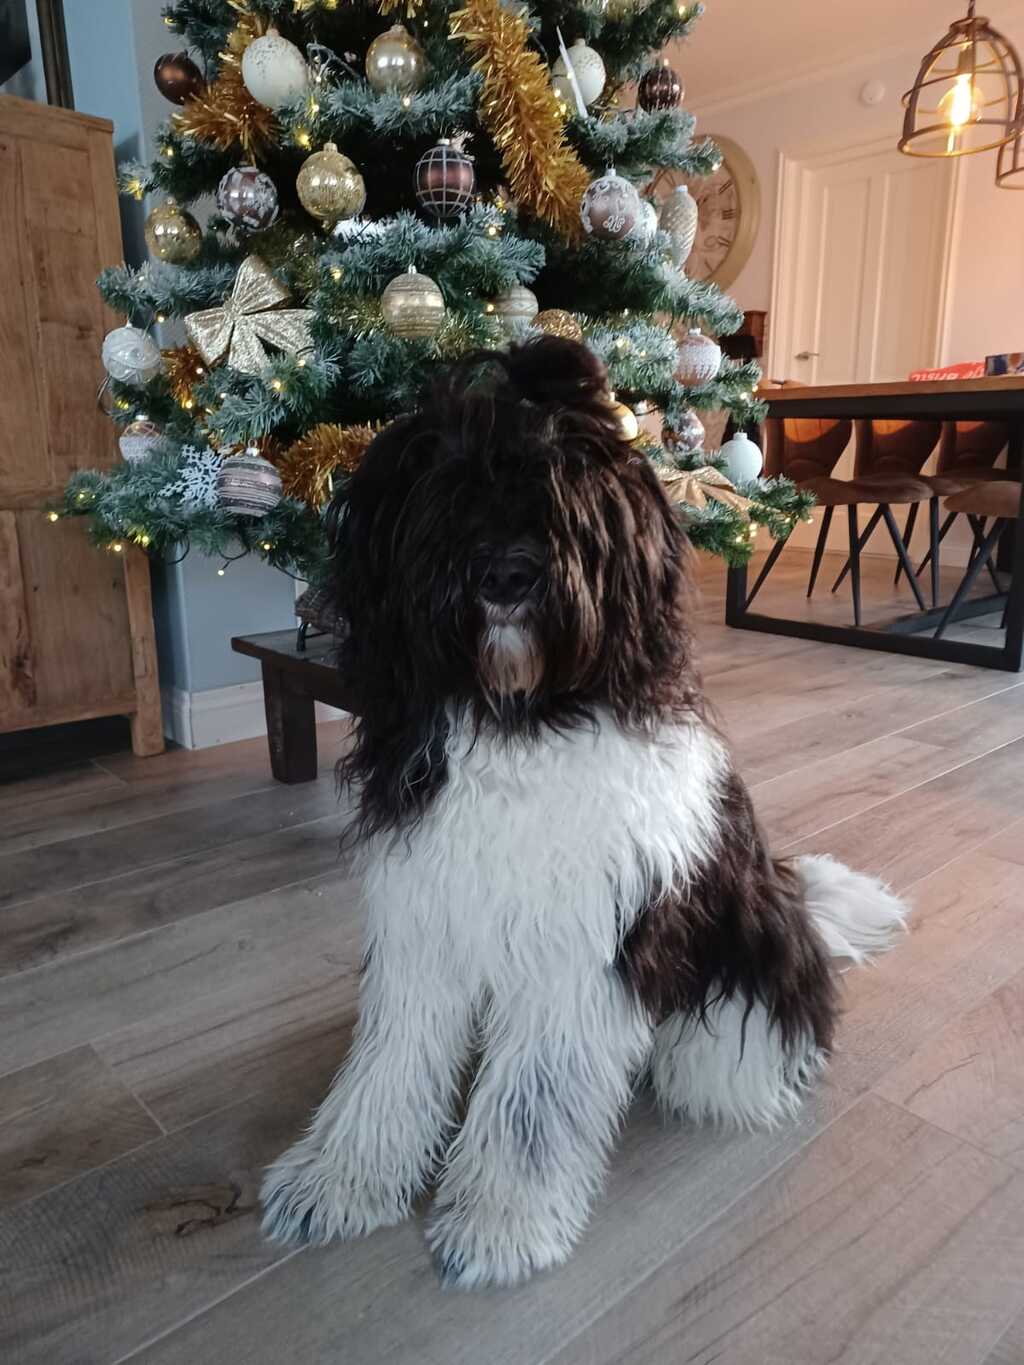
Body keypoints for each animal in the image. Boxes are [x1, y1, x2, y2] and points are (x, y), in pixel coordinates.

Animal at [260, 337, 907, 1289]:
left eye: (565, 499)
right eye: (451, 490)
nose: (507, 574)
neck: (520, 716)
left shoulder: (583, 943)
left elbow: (532, 1101)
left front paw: (498, 1221)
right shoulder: (424, 914)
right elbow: (391, 1063)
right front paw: (339, 1179)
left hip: (739, 967)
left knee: (724, 1049)